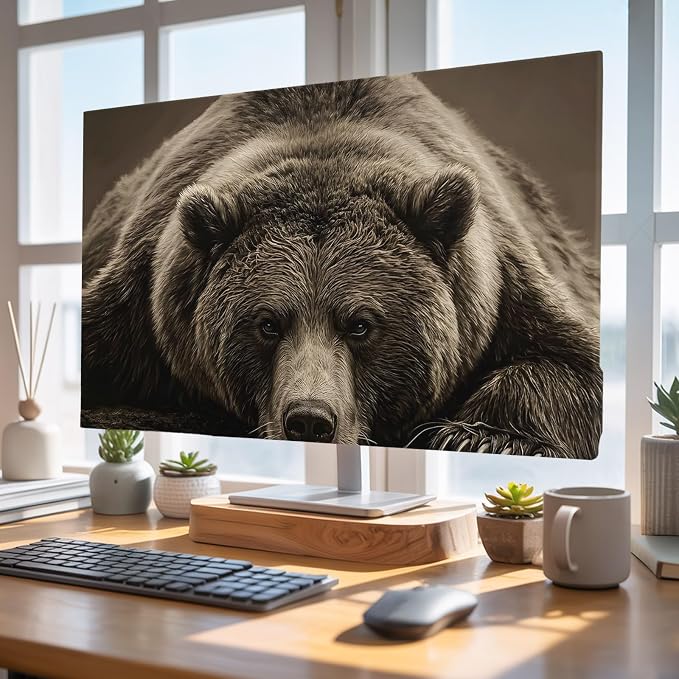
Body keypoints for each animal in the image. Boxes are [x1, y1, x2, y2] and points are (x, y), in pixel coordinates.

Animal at [81, 74, 602, 459]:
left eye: (361, 324)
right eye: (267, 323)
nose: (310, 420)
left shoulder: (504, 287)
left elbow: (568, 363)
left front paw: (477, 436)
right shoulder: (139, 298)